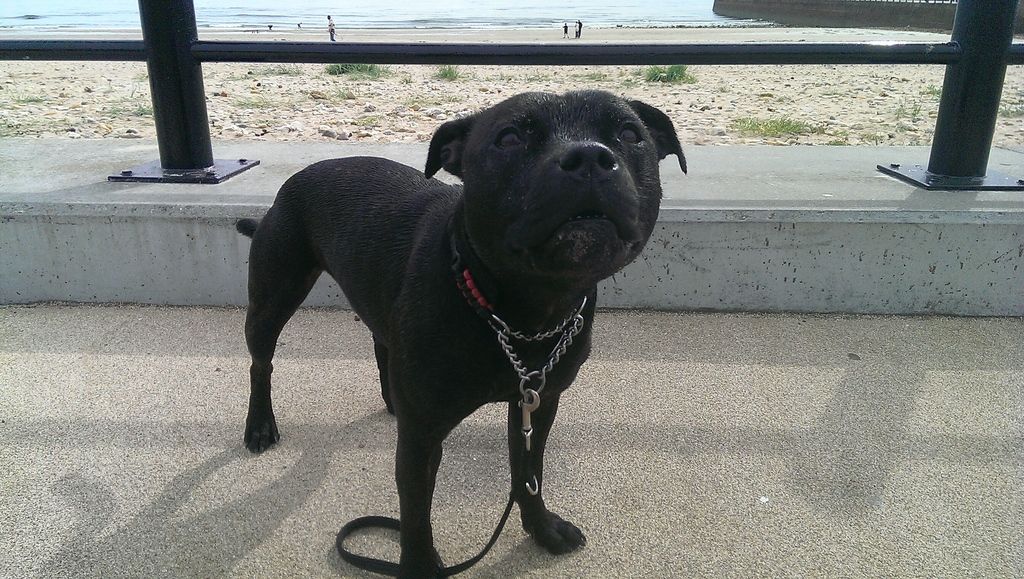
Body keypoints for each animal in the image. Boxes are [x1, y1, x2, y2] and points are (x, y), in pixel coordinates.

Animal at [237, 89, 688, 573]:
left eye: (630, 134)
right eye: (508, 138)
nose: (588, 157)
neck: (524, 314)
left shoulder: (538, 403)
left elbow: (528, 472)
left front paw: (542, 529)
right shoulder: (422, 438)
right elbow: (416, 515)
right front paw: (420, 567)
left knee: (381, 341)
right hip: (272, 299)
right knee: (261, 364)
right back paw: (260, 425)